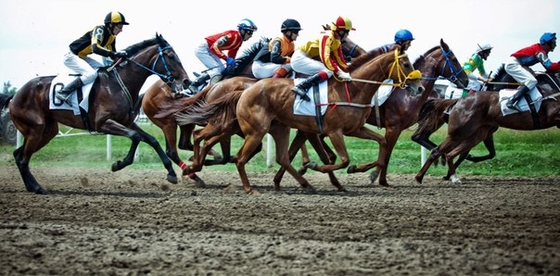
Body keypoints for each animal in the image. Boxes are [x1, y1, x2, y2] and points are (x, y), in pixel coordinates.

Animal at [9, 34, 189, 194]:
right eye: (171, 56)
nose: (186, 81)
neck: (118, 82)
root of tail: (14, 96)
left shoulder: (126, 122)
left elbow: (152, 140)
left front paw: (171, 173)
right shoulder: (103, 123)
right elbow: (135, 137)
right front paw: (118, 164)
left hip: (47, 131)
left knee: (18, 155)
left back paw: (31, 186)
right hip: (35, 129)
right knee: (23, 159)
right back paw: (37, 187)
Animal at [276, 38, 468, 188]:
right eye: (453, 59)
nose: (465, 80)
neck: (405, 95)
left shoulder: (394, 128)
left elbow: (385, 151)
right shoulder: (393, 127)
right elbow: (386, 152)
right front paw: (375, 176)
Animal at [416, 70, 560, 184]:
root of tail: (459, 101)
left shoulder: (489, 132)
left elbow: (488, 153)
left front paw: (450, 173)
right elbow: (475, 154)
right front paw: (448, 174)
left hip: (475, 134)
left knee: (446, 151)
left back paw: (451, 175)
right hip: (459, 132)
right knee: (431, 146)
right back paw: (421, 176)